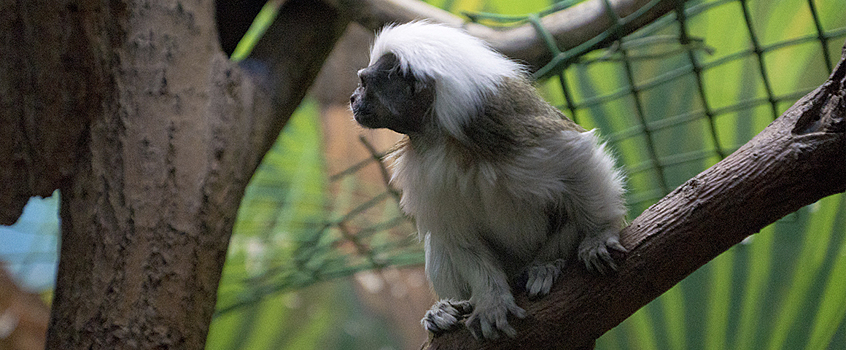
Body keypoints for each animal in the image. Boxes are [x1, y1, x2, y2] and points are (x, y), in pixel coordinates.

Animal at [352, 21, 628, 340]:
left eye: (364, 84)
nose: (353, 99)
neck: (444, 139)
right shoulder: (425, 173)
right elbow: (456, 232)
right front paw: (491, 301)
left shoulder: (507, 130)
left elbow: (578, 157)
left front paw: (598, 235)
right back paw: (445, 310)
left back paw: (546, 265)